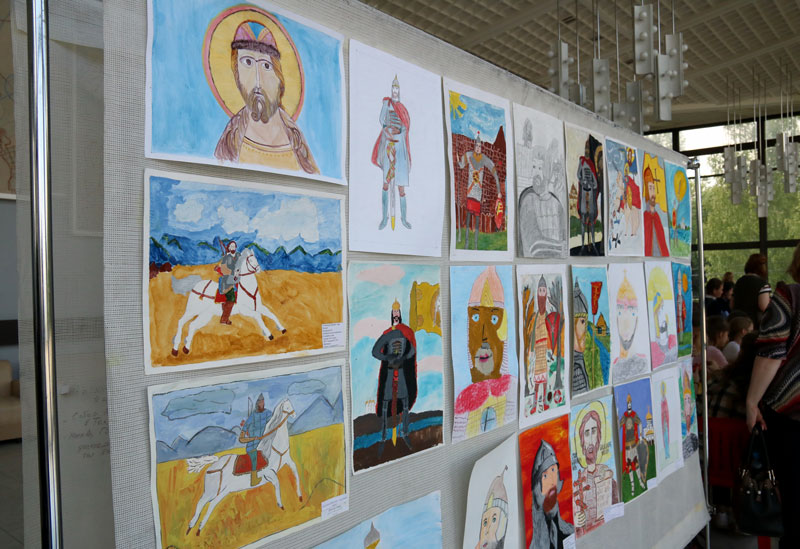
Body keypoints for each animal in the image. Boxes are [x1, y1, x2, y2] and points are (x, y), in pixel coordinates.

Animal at [184, 398, 301, 536]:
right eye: (287, 407)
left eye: (291, 405)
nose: (294, 414)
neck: (273, 448)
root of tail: (215, 463)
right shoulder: (269, 472)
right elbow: (277, 483)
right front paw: (281, 505)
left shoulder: (288, 461)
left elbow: (295, 471)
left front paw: (300, 496)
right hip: (218, 491)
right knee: (209, 504)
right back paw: (198, 528)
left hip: (216, 491)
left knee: (202, 503)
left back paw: (191, 528)